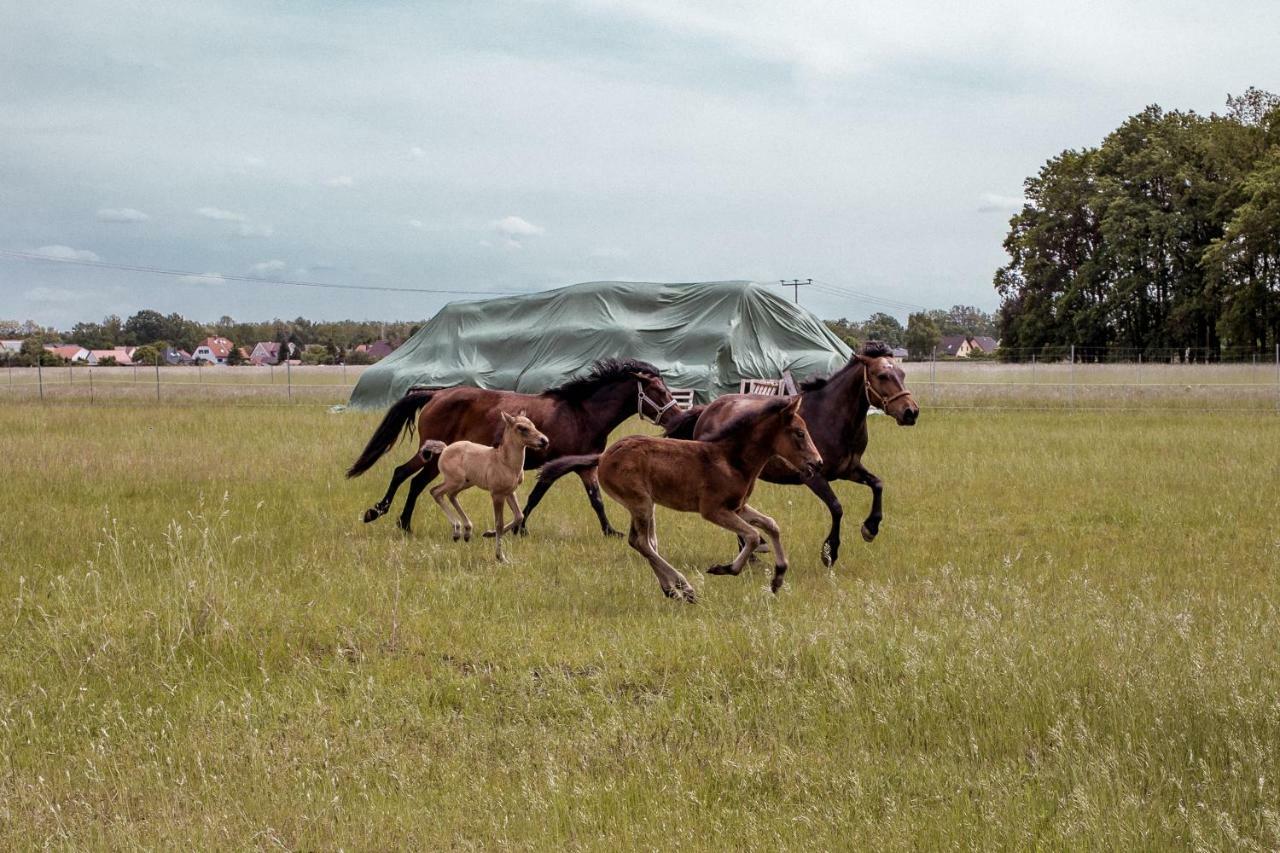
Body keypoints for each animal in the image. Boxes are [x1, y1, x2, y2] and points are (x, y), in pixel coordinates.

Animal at [345, 356, 675, 532]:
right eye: (658, 391)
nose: (676, 416)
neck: (582, 413)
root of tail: (436, 394)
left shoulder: (584, 467)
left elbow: (596, 500)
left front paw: (610, 531)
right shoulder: (558, 465)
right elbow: (536, 497)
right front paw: (518, 528)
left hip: (434, 455)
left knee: (407, 476)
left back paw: (396, 520)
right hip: (435, 455)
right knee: (408, 477)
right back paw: (387, 515)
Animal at [537, 394, 819, 601]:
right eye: (799, 433)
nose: (817, 463)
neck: (732, 459)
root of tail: (604, 456)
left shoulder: (737, 507)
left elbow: (771, 524)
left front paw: (778, 578)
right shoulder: (713, 510)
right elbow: (751, 535)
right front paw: (725, 569)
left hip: (643, 505)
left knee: (645, 542)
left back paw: (673, 590)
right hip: (641, 502)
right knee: (641, 542)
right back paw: (684, 586)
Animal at [660, 338, 921, 563]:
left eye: (902, 374)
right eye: (882, 375)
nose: (911, 412)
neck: (830, 417)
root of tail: (708, 409)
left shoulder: (850, 469)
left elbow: (877, 484)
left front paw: (870, 528)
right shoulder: (813, 475)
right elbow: (836, 507)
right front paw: (830, 552)